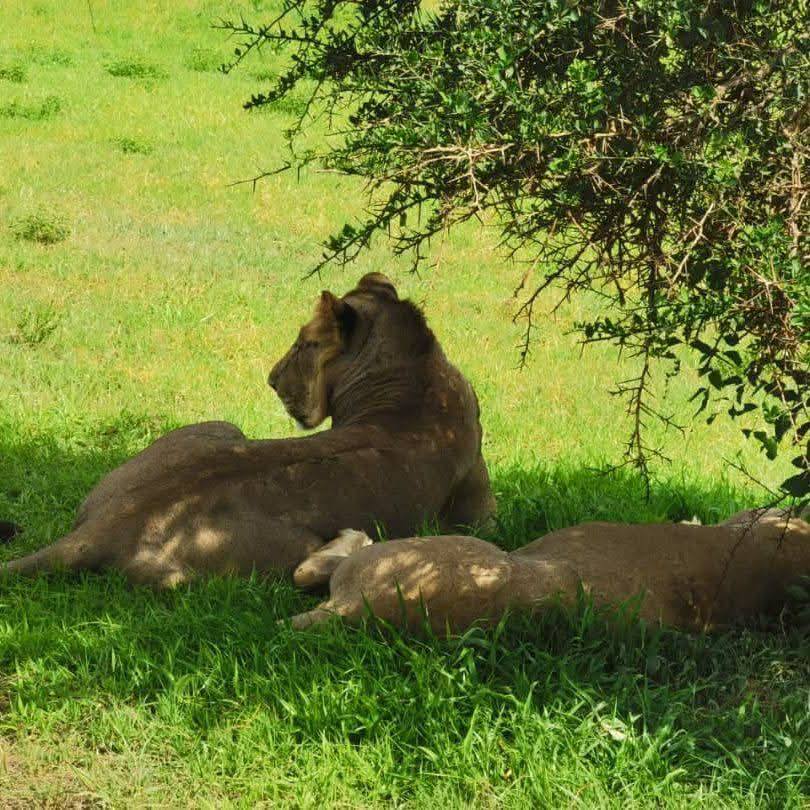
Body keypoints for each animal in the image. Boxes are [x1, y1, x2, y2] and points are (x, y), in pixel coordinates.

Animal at [2, 273, 495, 586]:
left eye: (303, 344)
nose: (271, 379)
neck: (414, 372)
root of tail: (103, 526)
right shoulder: (480, 513)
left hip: (212, 432)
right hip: (261, 547)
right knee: (303, 571)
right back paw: (351, 541)